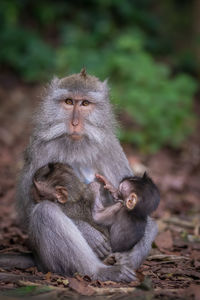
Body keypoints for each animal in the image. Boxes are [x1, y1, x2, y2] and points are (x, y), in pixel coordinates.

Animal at [16, 69, 158, 282]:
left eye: (84, 103)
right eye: (68, 102)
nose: (74, 123)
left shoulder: (110, 146)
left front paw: (132, 257)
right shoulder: (40, 148)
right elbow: (29, 207)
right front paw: (89, 233)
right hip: (47, 262)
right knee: (45, 212)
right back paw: (100, 271)